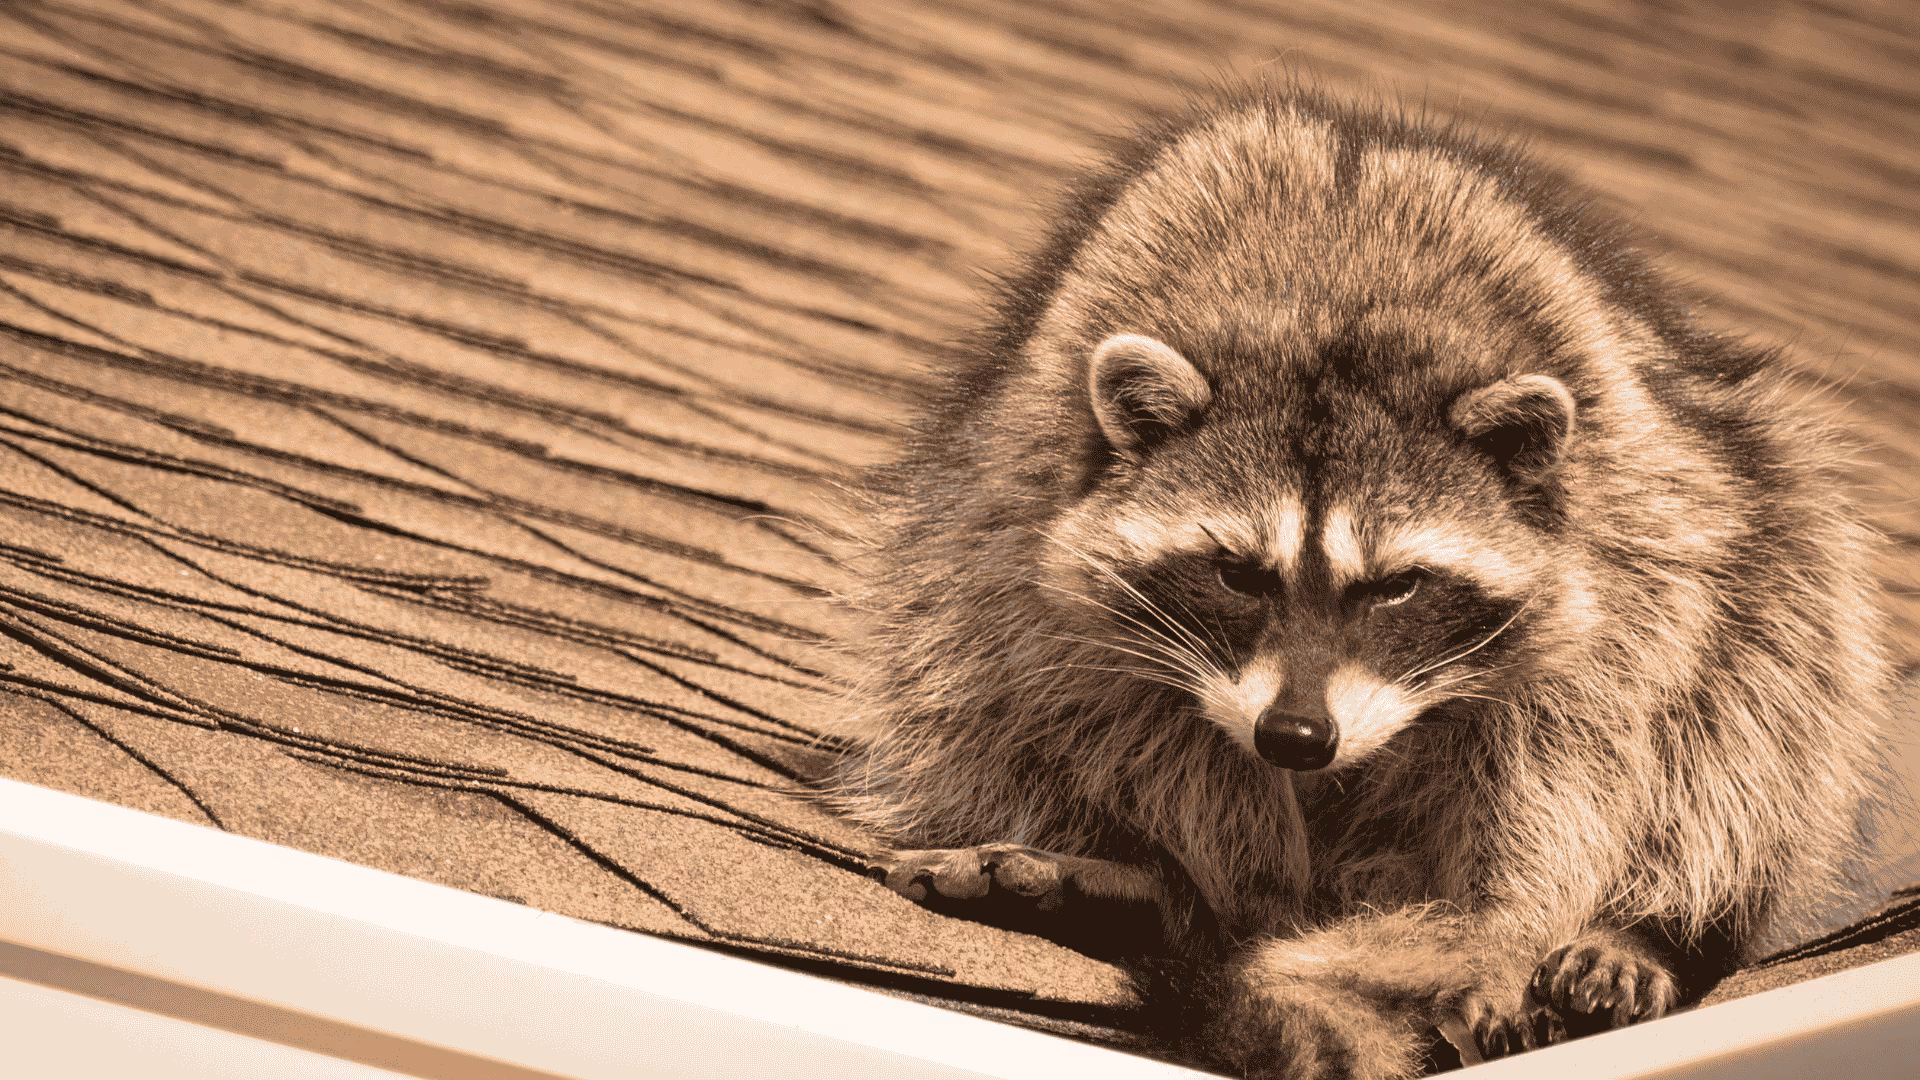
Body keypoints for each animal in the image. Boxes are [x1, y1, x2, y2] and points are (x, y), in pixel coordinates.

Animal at [829, 88, 1890, 1079]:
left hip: (1761, 528)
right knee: (965, 681)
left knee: (1760, 689)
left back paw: (1642, 930)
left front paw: (1504, 932)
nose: (1296, 737)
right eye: (1237, 574)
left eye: (1396, 587)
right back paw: (1158, 888)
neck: (1330, 313)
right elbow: (1113, 710)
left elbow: (1577, 759)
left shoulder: (1628, 557)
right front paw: (1241, 889)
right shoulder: (1031, 534)